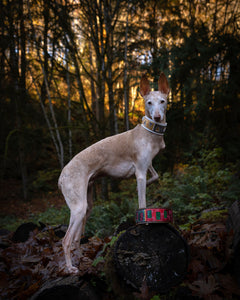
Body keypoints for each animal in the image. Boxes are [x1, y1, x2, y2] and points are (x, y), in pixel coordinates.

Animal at [58, 72, 170, 274]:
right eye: (149, 102)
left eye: (162, 101)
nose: (157, 117)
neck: (149, 133)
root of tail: (62, 175)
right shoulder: (140, 172)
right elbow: (142, 202)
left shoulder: (146, 166)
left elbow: (155, 176)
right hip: (78, 208)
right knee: (66, 240)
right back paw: (70, 268)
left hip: (87, 205)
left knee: (76, 239)